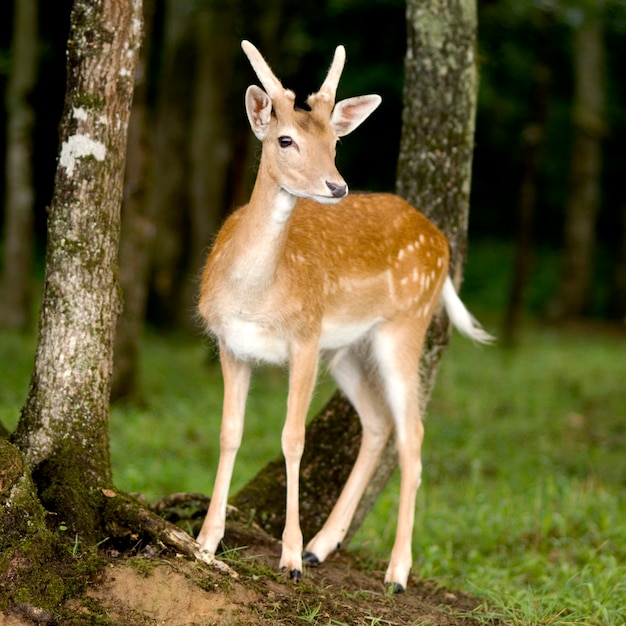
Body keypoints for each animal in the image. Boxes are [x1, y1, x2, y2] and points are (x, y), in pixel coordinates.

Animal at [196, 40, 492, 588]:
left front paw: (288, 559)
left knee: (412, 435)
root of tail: (441, 241)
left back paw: (396, 570)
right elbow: (229, 433)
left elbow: (293, 438)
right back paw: (323, 545)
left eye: (335, 141)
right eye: (286, 139)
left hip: (406, 324)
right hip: (348, 349)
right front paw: (207, 541)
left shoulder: (306, 336)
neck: (254, 296)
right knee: (377, 425)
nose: (336, 186)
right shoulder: (230, 344)